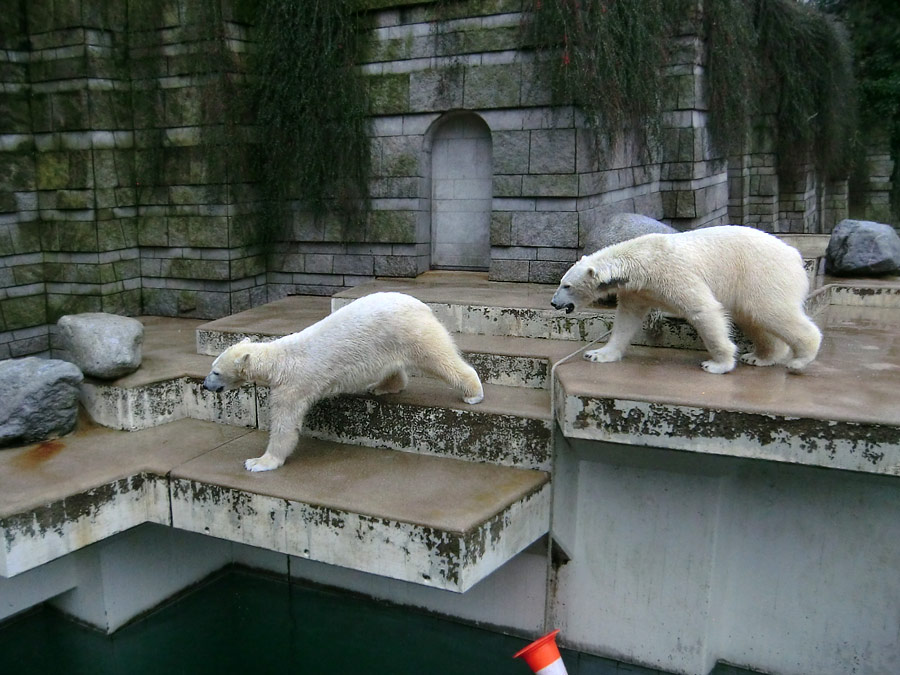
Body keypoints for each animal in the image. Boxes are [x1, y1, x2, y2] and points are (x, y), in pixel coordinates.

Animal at [204, 294, 486, 472]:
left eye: (215, 371)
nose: (206, 385)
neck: (280, 361)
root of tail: (424, 306)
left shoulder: (293, 387)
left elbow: (285, 425)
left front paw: (259, 462)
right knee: (394, 366)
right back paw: (381, 387)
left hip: (411, 331)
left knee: (439, 357)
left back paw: (473, 392)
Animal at [548, 226, 824, 374]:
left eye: (566, 285)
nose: (554, 302)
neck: (640, 262)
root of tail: (794, 254)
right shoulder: (638, 291)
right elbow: (626, 320)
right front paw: (598, 354)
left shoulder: (672, 274)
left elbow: (704, 309)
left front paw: (717, 364)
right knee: (753, 317)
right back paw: (759, 357)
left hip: (763, 274)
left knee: (771, 311)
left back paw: (799, 360)